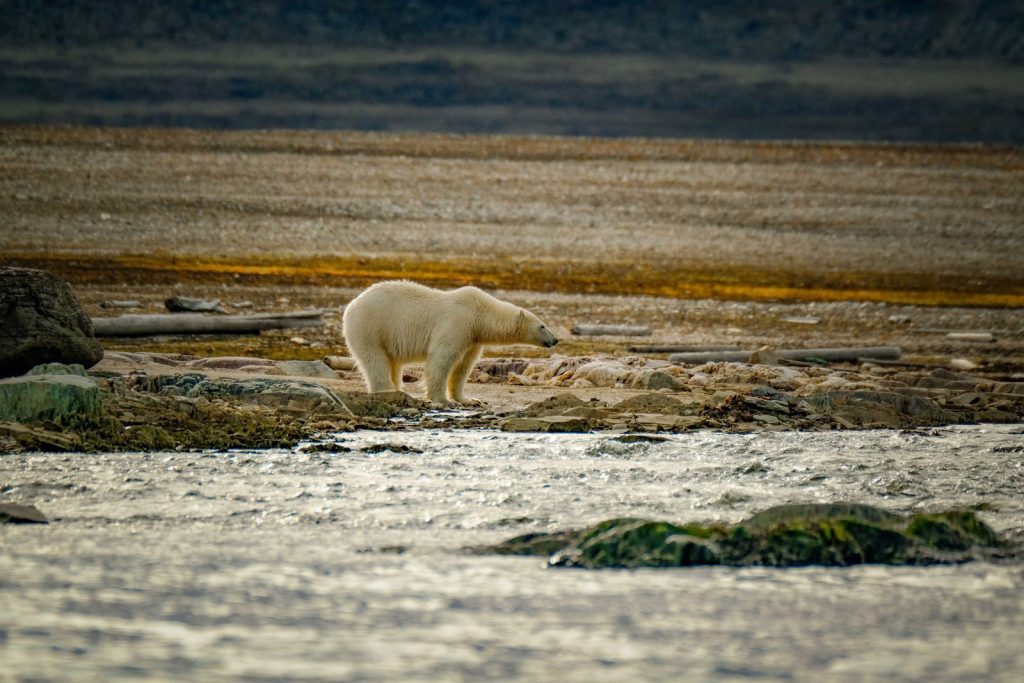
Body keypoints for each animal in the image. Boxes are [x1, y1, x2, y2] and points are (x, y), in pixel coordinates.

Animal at [342, 280, 558, 406]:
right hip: (370, 327)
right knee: (374, 359)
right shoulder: (457, 323)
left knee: (393, 363)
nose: (555, 339)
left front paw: (469, 400)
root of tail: (351, 305)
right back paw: (387, 391)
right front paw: (443, 401)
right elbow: (442, 359)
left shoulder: (472, 337)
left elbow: (463, 366)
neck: (480, 314)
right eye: (542, 325)